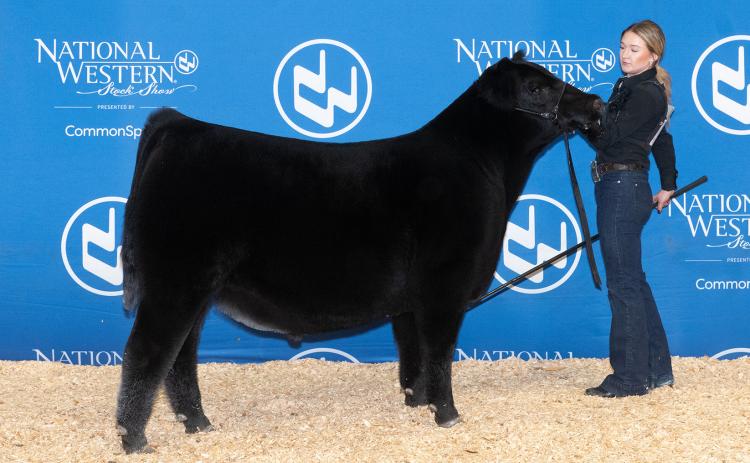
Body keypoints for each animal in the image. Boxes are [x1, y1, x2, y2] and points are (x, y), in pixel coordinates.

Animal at [115, 50, 603, 453]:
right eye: (536, 88)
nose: (597, 104)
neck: (485, 169)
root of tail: (178, 124)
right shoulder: (445, 287)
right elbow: (440, 352)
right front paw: (447, 415)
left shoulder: (411, 301)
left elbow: (413, 353)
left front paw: (417, 402)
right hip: (175, 284)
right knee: (146, 353)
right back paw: (134, 439)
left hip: (197, 291)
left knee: (180, 359)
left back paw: (197, 423)